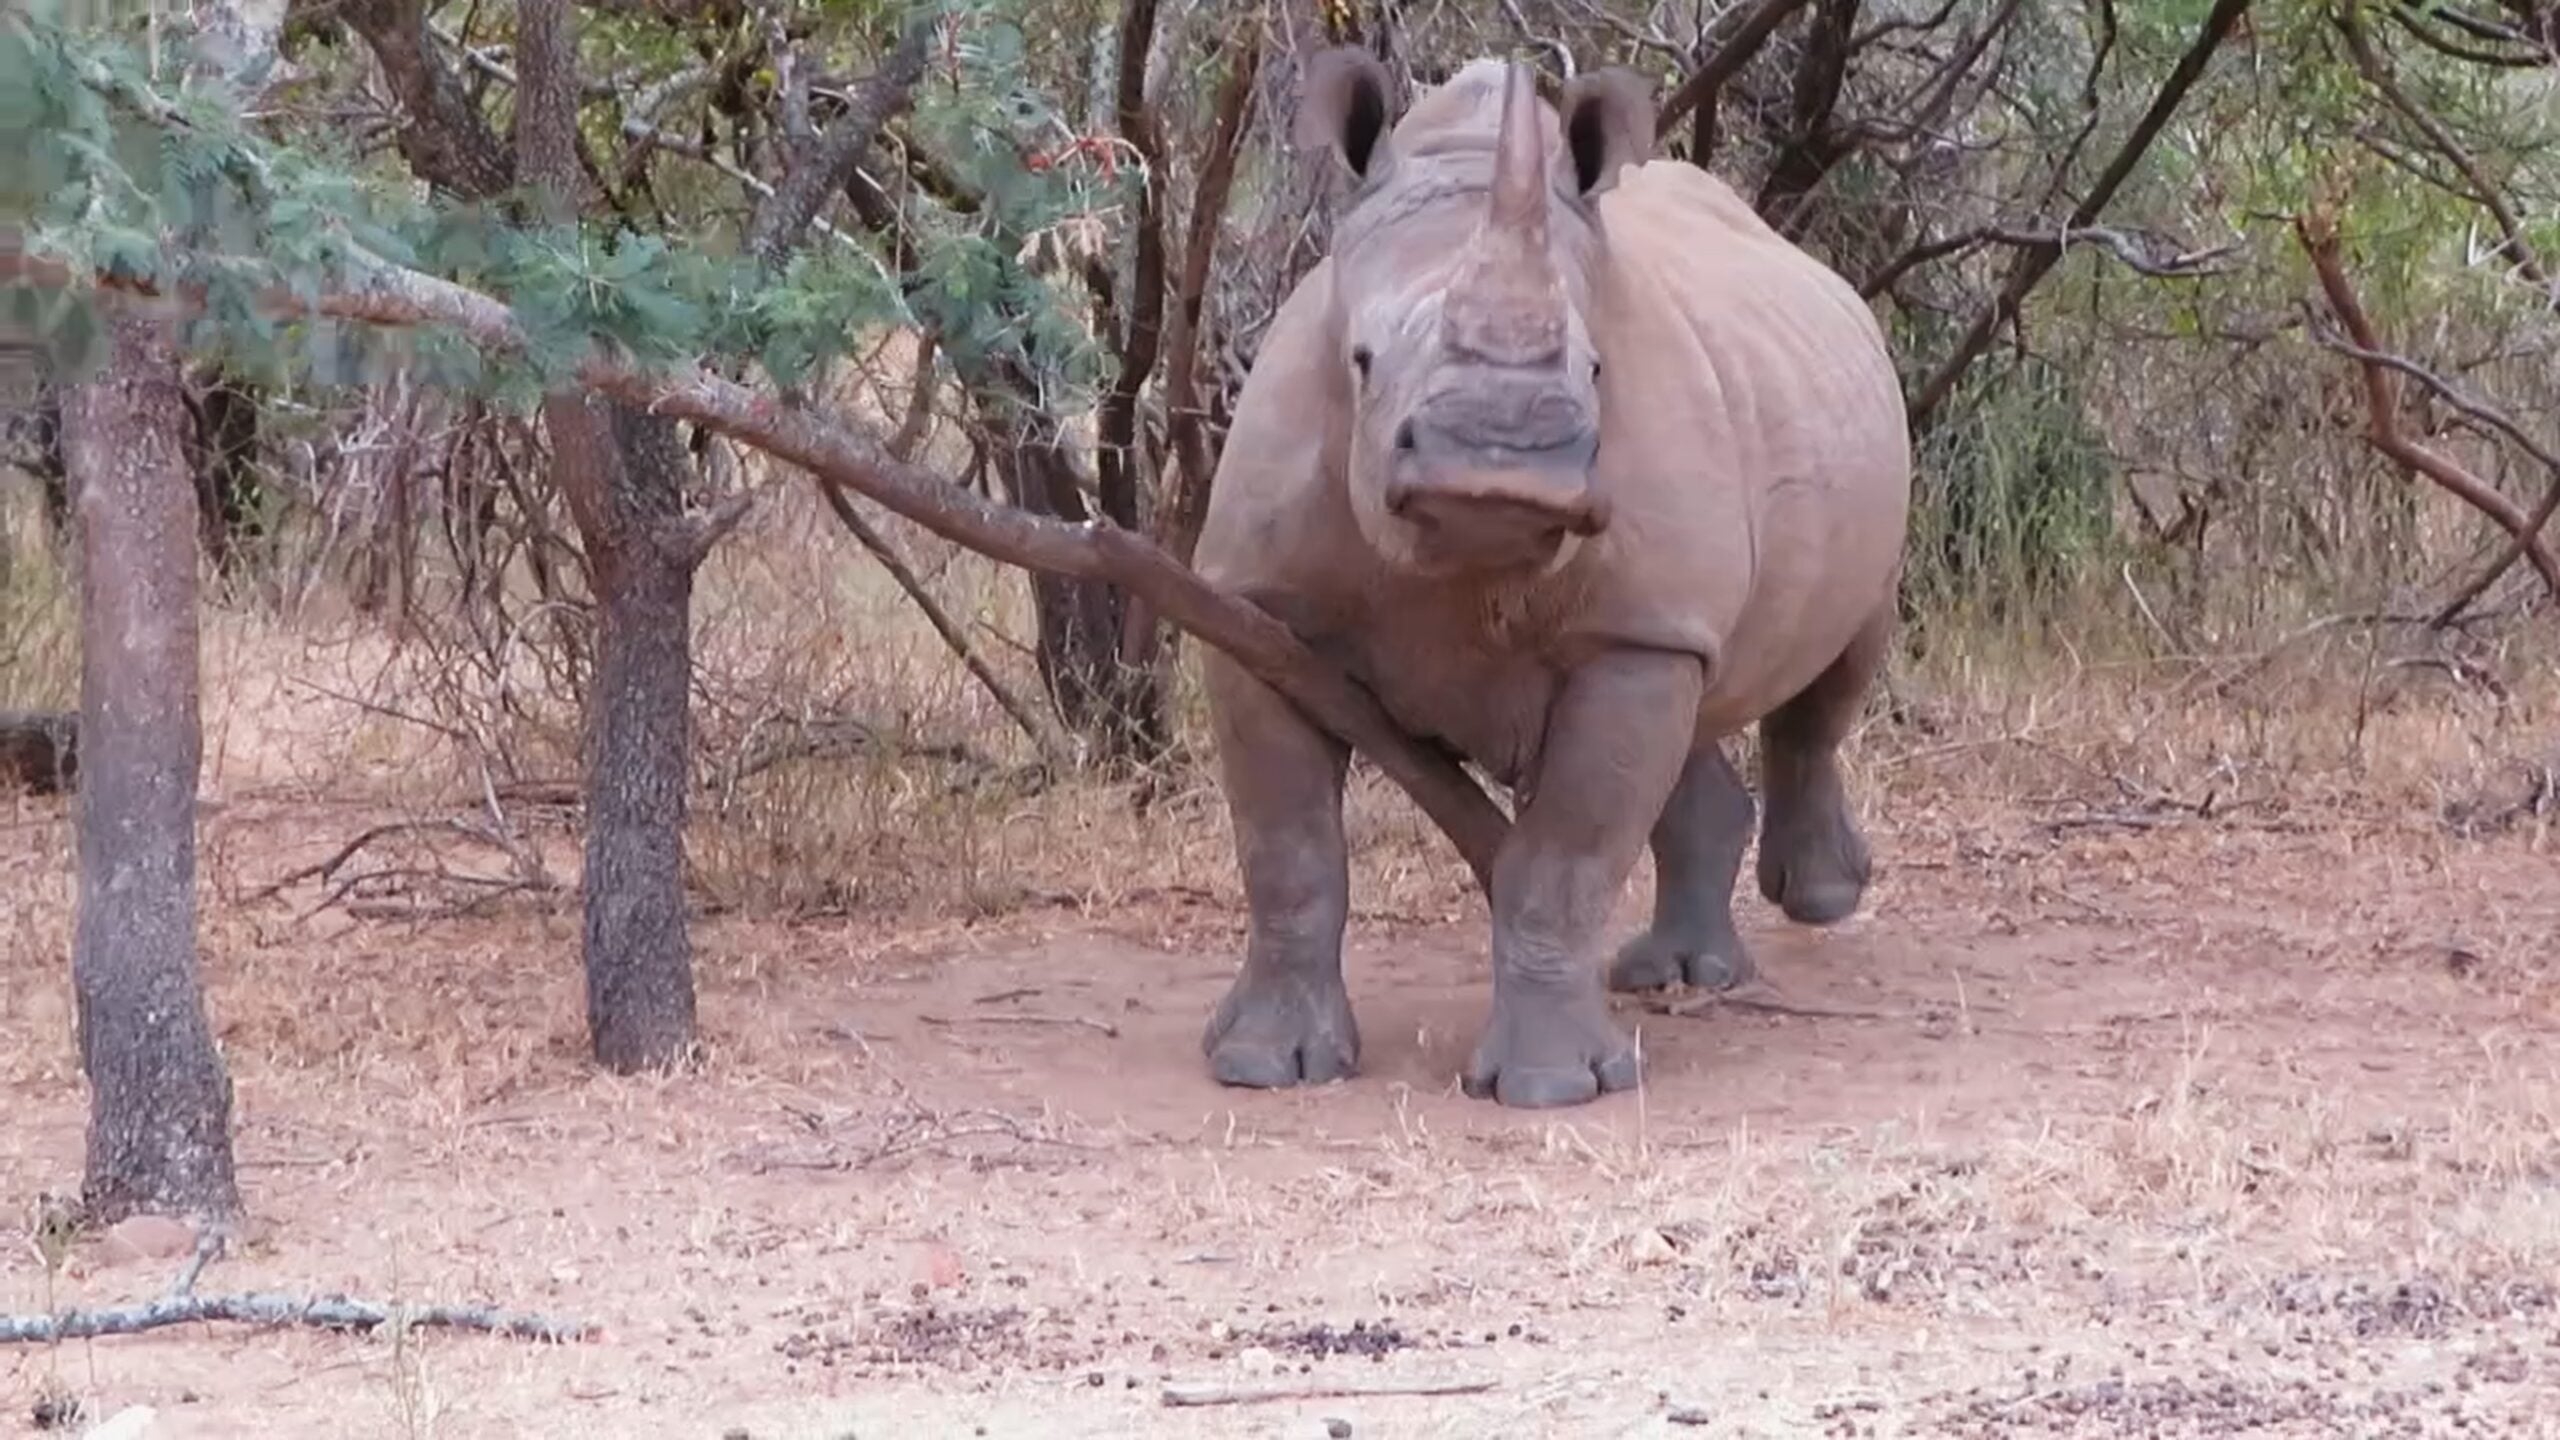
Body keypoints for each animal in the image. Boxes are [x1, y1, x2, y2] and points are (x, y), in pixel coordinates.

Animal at [1191, 50, 1912, 1109]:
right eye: (1361, 362)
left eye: (1598, 368)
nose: (1501, 456)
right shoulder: (1259, 613)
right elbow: (1287, 848)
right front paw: (1261, 1067)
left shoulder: (1635, 636)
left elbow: (1565, 856)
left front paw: (1549, 1090)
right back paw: (1678, 975)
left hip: (1860, 428)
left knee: (1836, 666)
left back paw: (1815, 901)